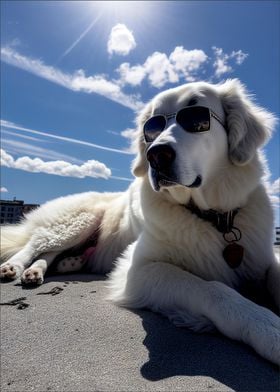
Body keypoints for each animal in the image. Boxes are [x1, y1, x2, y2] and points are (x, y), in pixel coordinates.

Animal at [0, 79, 280, 364]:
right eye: (152, 128)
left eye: (197, 118)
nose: (156, 155)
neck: (212, 217)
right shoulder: (138, 269)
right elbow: (212, 289)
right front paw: (267, 328)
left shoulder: (262, 257)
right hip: (78, 221)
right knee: (36, 244)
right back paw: (14, 267)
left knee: (51, 252)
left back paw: (43, 270)